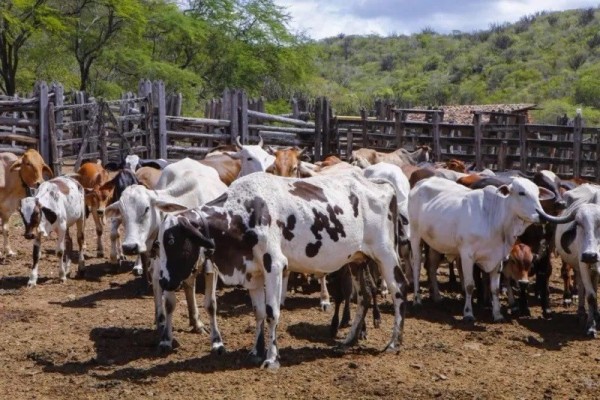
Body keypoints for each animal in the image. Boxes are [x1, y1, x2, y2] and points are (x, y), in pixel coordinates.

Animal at [410, 178, 576, 322]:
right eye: (521, 193)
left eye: (537, 193)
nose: (541, 215)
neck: (494, 220)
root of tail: (421, 182)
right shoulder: (467, 255)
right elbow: (469, 285)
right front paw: (468, 314)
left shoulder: (497, 257)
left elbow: (495, 288)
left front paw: (497, 314)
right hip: (415, 236)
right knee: (417, 266)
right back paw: (417, 299)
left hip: (435, 244)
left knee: (431, 267)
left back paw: (437, 297)